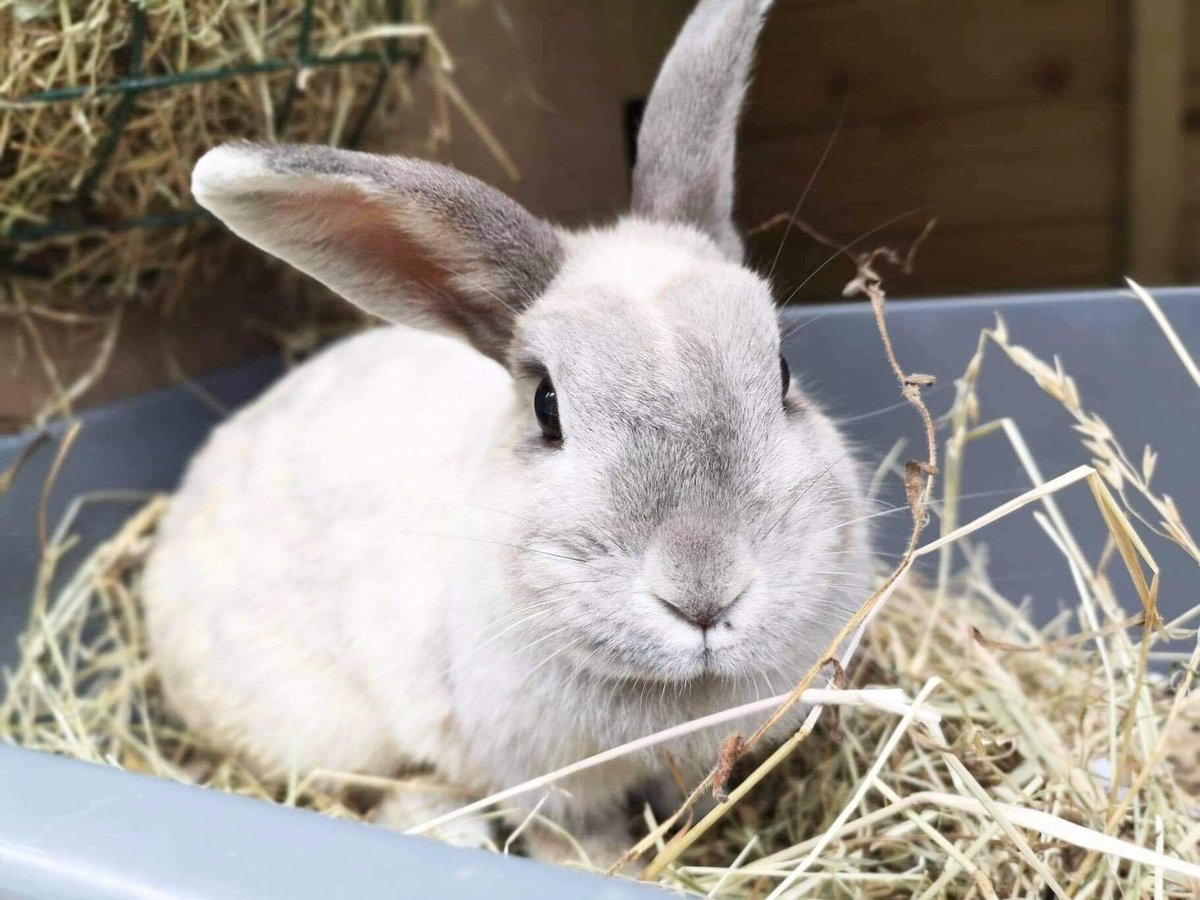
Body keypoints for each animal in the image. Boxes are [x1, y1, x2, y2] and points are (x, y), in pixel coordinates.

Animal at [143, 0, 872, 869]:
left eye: (784, 370)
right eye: (546, 405)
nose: (705, 594)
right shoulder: (548, 786)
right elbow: (574, 842)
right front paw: (616, 870)